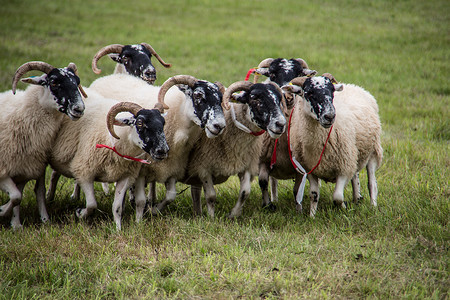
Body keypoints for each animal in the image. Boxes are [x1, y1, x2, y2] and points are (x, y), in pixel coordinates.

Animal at [0, 61, 86, 230]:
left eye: (77, 82)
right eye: (53, 82)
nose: (79, 109)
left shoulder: (28, 166)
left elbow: (21, 195)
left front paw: (16, 224)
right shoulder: (5, 169)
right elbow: (16, 195)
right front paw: (3, 212)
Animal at [89, 73, 227, 218]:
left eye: (221, 98)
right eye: (198, 95)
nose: (219, 126)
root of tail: (108, 76)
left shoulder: (173, 167)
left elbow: (170, 196)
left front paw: (153, 210)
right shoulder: (142, 169)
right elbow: (140, 199)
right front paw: (144, 210)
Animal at [178, 81, 286, 218]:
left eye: (279, 99)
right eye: (254, 98)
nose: (281, 124)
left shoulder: (246, 164)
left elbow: (245, 192)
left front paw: (233, 215)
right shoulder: (203, 166)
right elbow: (211, 196)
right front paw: (211, 218)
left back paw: (197, 214)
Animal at [280, 73, 382, 216]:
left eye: (332, 92)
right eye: (308, 93)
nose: (330, 116)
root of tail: (355, 86)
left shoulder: (343, 167)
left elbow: (338, 196)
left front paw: (344, 207)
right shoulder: (309, 168)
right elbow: (314, 194)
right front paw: (312, 216)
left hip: (373, 150)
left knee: (372, 182)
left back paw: (373, 206)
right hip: (353, 153)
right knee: (355, 176)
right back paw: (357, 198)